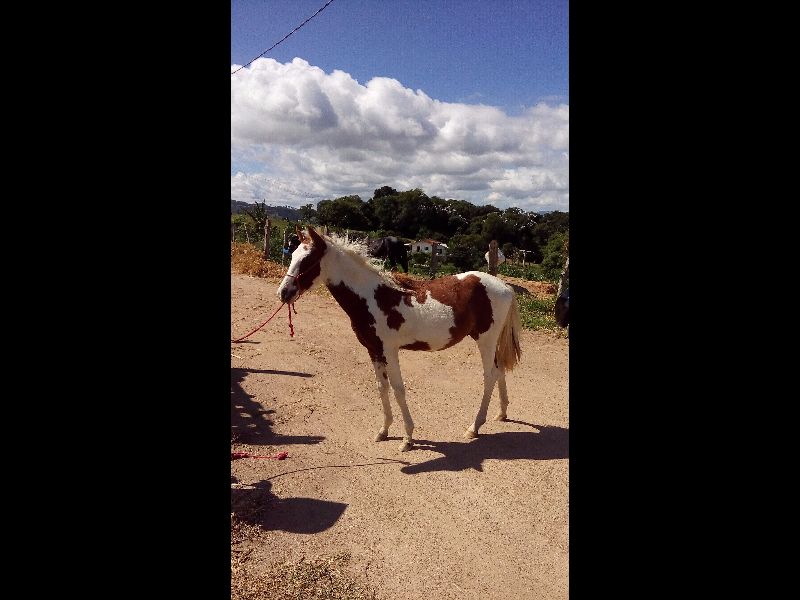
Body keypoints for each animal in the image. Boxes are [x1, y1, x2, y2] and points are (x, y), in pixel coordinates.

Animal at [277, 227, 522, 452]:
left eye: (308, 260)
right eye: (292, 254)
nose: (283, 293)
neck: (372, 297)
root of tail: (505, 287)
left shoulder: (390, 350)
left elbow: (398, 389)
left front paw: (408, 438)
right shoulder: (374, 350)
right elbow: (382, 387)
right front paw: (383, 431)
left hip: (486, 340)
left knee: (490, 376)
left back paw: (474, 427)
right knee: (500, 370)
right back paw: (502, 413)